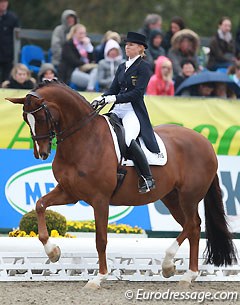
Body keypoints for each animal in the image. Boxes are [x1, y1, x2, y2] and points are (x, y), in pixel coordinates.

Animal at [5, 80, 236, 284]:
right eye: (25, 118)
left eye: (41, 116)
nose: (41, 153)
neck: (83, 139)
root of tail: (205, 143)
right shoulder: (69, 193)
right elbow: (40, 204)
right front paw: (53, 252)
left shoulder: (100, 199)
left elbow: (101, 239)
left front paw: (99, 278)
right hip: (172, 197)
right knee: (192, 228)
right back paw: (186, 275)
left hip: (189, 196)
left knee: (193, 224)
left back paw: (170, 265)